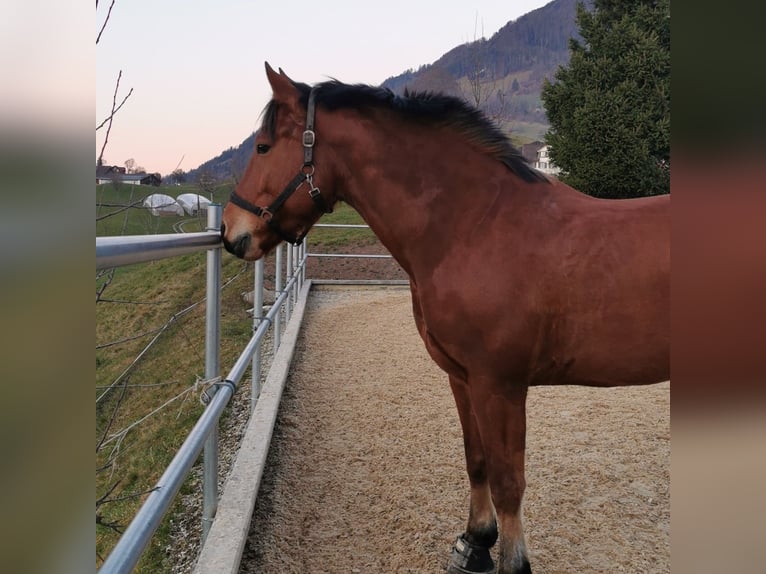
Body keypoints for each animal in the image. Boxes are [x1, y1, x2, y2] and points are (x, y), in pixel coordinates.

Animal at [219, 64, 668, 574]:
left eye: (263, 147)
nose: (231, 231)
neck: (475, 226)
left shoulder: (500, 384)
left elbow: (509, 481)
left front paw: (513, 562)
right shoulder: (463, 378)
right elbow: (477, 461)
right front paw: (476, 542)